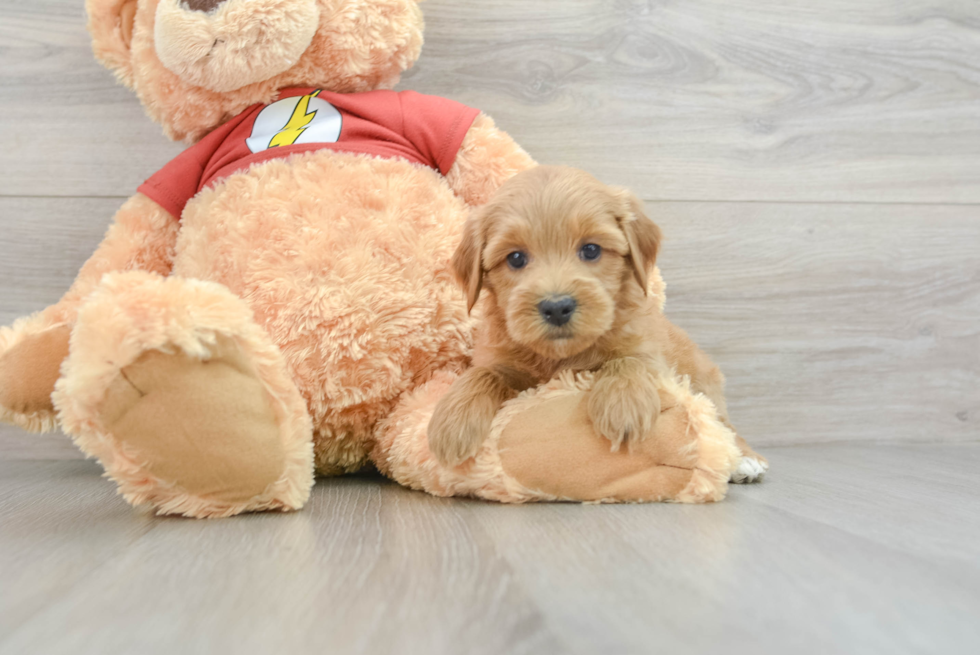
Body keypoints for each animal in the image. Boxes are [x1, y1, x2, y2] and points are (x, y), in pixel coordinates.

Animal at [428, 167, 756, 480]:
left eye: (591, 250)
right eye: (516, 258)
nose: (557, 307)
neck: (560, 356)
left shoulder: (647, 350)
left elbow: (628, 360)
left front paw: (623, 405)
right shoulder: (499, 358)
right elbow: (482, 374)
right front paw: (452, 422)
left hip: (704, 383)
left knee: (722, 422)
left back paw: (746, 460)